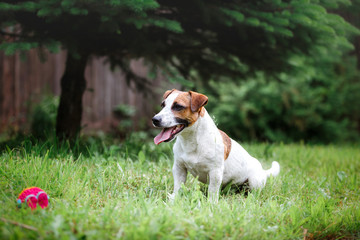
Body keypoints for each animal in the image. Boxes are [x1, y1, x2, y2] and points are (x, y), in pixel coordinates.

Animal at [150, 89, 280, 202]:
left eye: (178, 107)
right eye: (163, 105)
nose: (154, 119)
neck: (192, 140)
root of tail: (263, 171)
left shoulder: (215, 171)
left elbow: (212, 191)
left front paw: (211, 204)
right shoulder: (179, 168)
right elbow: (178, 186)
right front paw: (174, 200)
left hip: (254, 181)